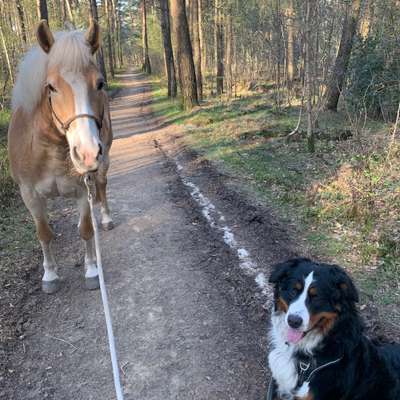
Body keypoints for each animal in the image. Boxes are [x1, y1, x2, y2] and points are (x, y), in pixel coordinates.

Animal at [8, 19, 114, 294]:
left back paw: (106, 218)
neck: (50, 149)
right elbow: (44, 233)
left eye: (100, 83)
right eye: (51, 87)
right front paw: (50, 275)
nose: (87, 153)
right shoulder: (29, 195)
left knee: (102, 185)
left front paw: (91, 270)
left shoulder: (81, 189)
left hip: (104, 161)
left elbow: (86, 229)